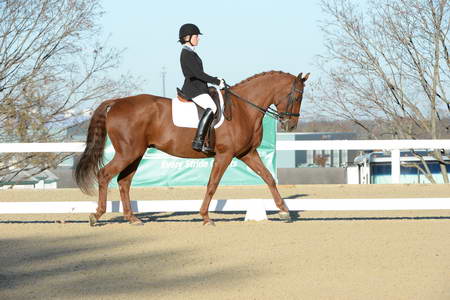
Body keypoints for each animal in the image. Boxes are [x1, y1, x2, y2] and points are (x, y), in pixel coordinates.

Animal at [75, 70, 312, 225]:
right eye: (297, 95)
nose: (290, 125)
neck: (244, 109)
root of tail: (116, 102)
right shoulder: (225, 154)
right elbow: (212, 184)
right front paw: (206, 217)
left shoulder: (247, 154)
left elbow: (269, 178)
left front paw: (284, 211)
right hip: (128, 152)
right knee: (104, 174)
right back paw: (96, 215)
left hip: (136, 153)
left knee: (124, 182)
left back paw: (132, 218)